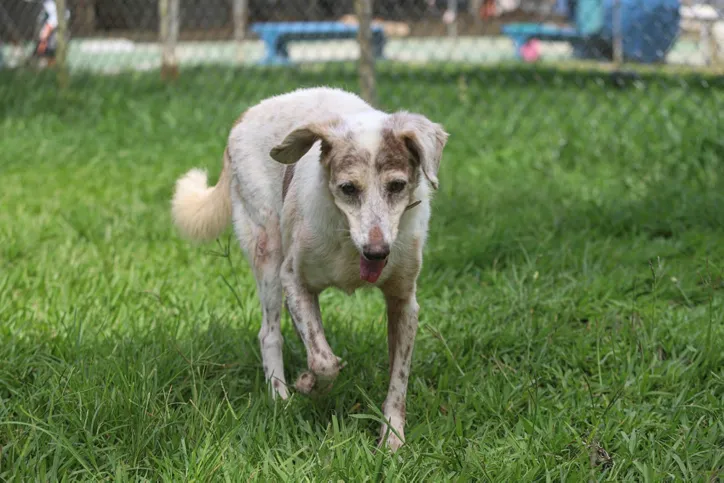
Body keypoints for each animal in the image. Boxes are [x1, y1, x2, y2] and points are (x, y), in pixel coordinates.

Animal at [173, 86, 450, 450]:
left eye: (397, 186)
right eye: (348, 188)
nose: (377, 253)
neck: (347, 242)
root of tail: (247, 114)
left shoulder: (404, 301)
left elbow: (398, 379)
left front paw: (392, 438)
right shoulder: (292, 277)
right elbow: (324, 361)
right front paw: (310, 386)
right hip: (268, 252)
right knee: (269, 334)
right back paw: (280, 397)